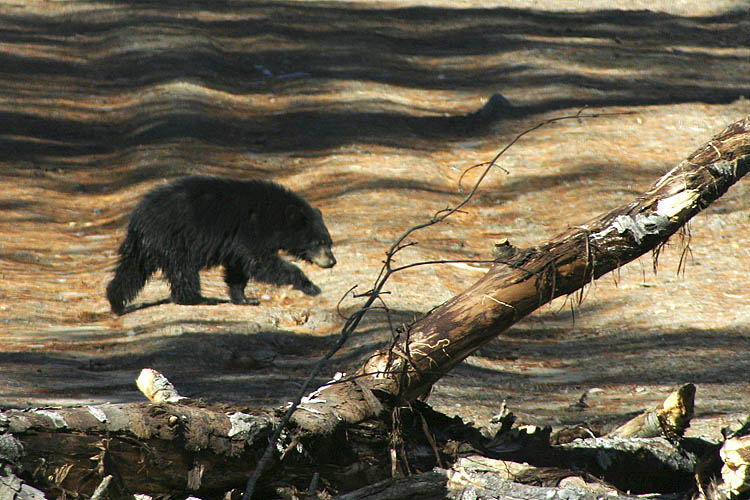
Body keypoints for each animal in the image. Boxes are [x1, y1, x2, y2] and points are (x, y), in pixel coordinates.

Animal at [106, 175, 336, 315]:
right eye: (318, 242)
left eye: (329, 241)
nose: (332, 261)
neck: (274, 215)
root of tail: (138, 217)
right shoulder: (252, 228)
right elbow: (261, 262)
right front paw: (310, 286)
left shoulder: (238, 244)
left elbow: (239, 267)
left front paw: (244, 298)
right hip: (174, 239)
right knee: (183, 270)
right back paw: (197, 298)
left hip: (145, 246)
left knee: (131, 271)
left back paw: (116, 302)